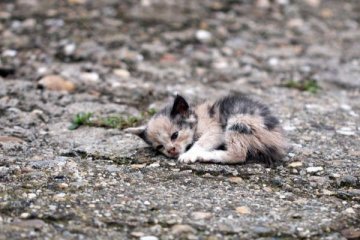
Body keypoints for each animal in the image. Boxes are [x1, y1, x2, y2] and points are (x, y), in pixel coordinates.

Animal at [124, 94, 286, 166]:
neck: (196, 118)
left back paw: (206, 155)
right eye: (159, 147)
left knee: (238, 155)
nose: (171, 150)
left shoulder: (216, 130)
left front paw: (189, 155)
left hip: (239, 121)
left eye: (175, 135)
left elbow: (200, 142)